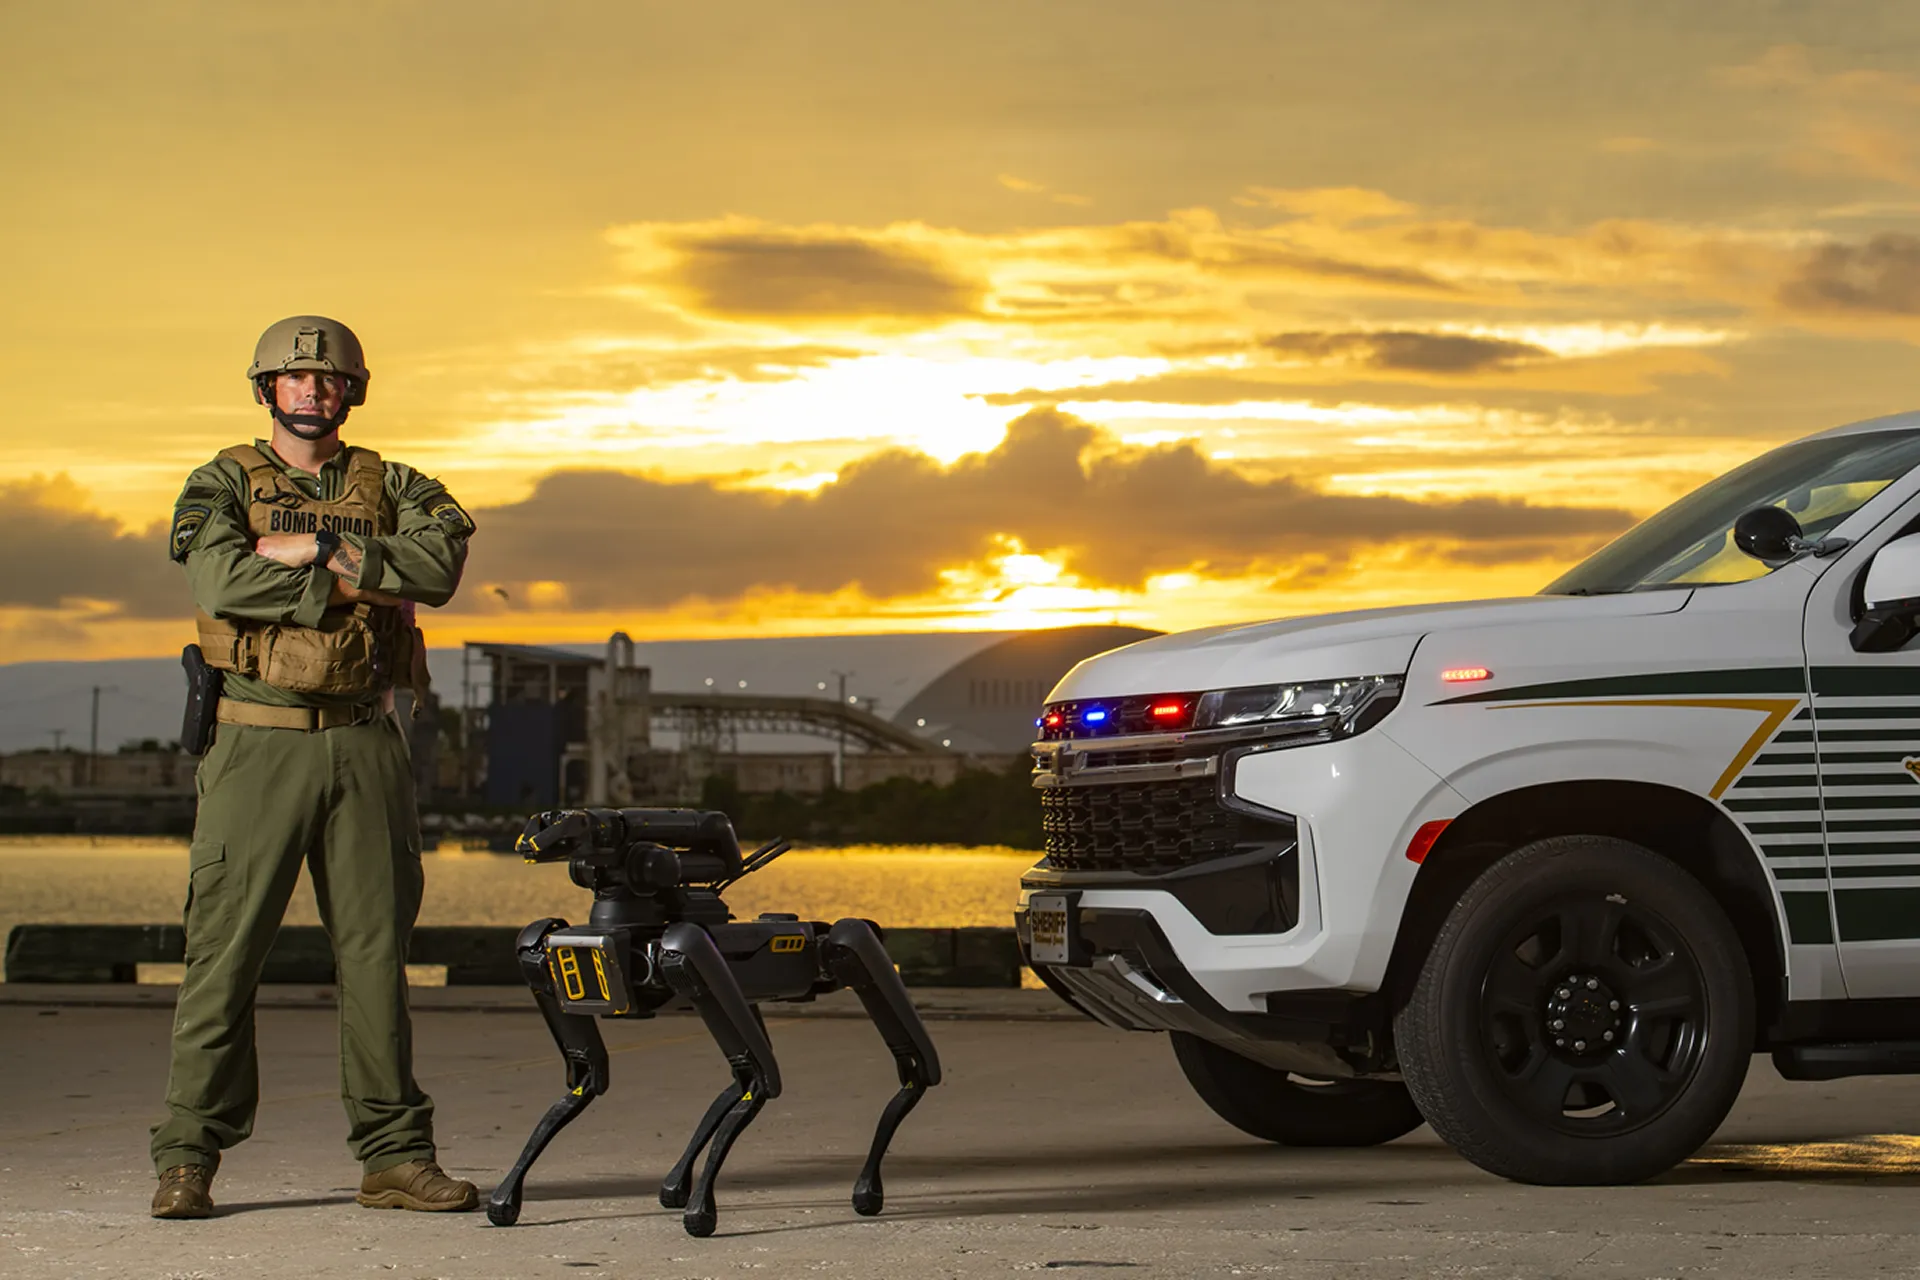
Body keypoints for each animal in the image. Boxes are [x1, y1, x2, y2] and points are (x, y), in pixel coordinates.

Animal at [487, 805, 944, 1235]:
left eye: (564, 826)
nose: (528, 843)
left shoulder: (686, 946)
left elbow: (763, 1078)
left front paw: (701, 1208)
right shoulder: (538, 948)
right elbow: (587, 1076)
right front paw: (506, 1195)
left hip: (837, 947)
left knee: (894, 1029)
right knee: (738, 1077)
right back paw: (676, 1183)